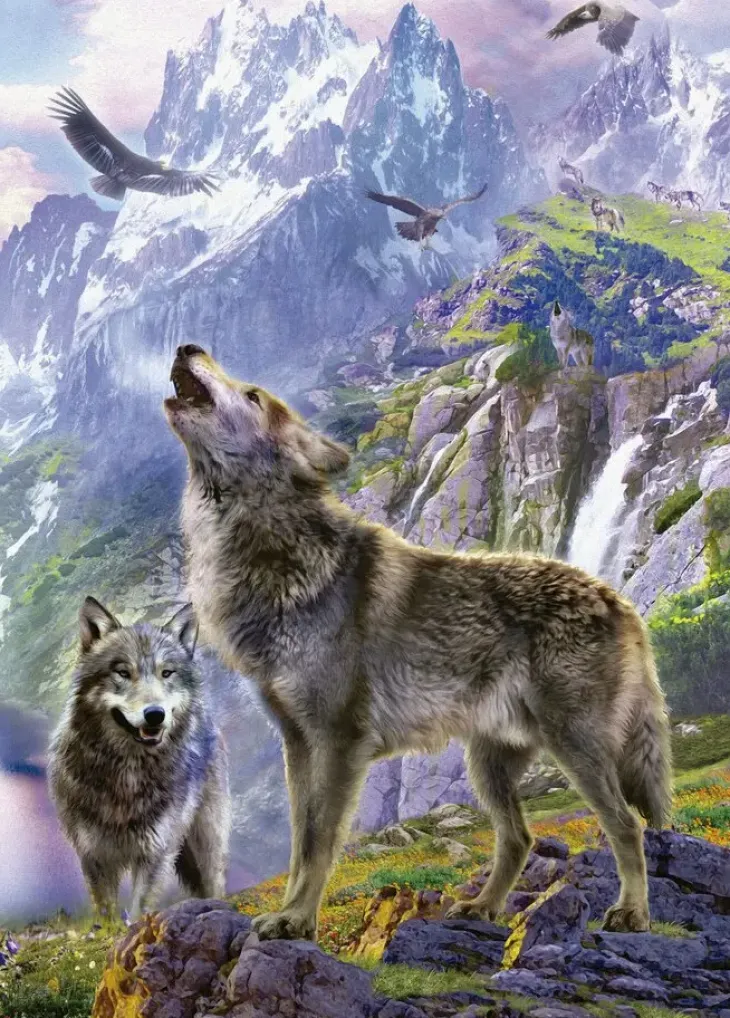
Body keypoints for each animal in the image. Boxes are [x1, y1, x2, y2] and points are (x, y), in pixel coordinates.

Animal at [48, 598, 230, 919]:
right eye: (123, 672)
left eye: (166, 673)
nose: (155, 714)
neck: (128, 775)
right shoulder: (94, 856)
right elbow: (107, 913)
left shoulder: (155, 853)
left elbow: (137, 911)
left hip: (205, 840)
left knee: (215, 882)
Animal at [164, 344, 672, 943]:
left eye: (252, 395)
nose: (188, 348)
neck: (274, 557)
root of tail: (621, 601)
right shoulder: (299, 743)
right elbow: (298, 844)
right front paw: (290, 915)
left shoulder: (339, 742)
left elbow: (319, 842)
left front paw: (297, 919)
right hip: (489, 764)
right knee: (519, 837)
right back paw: (483, 907)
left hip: (575, 749)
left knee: (627, 825)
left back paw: (632, 913)